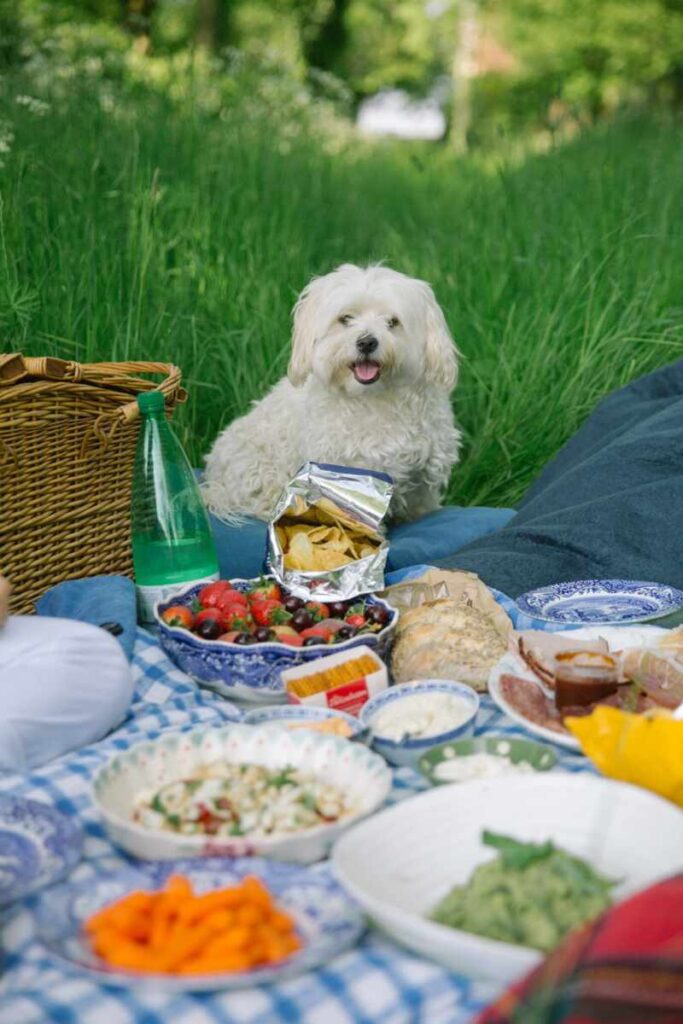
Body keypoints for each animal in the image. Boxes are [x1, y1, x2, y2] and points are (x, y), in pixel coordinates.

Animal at [202, 264, 458, 524]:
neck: (374, 399)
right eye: (345, 319)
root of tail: (214, 478)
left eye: (392, 321)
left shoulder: (422, 482)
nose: (367, 342)